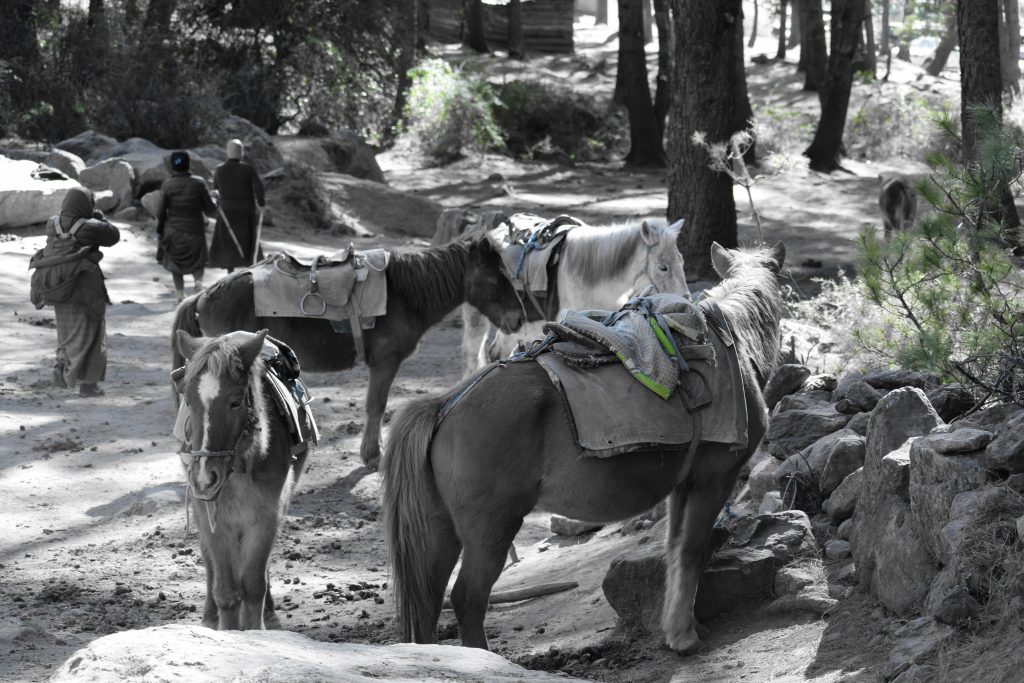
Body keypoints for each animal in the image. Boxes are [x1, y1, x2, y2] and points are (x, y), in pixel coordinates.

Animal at [171, 235, 524, 471]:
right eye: (495, 278)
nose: (519, 318)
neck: (402, 295)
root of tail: (202, 295)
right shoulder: (385, 363)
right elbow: (376, 406)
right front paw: (372, 455)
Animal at [174, 327, 307, 634]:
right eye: (188, 401)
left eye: (235, 402)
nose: (204, 476)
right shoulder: (214, 517)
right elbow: (226, 589)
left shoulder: (266, 517)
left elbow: (254, 585)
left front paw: (255, 629)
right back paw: (209, 617)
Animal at [380, 242, 786, 655]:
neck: (734, 345)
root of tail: (445, 404)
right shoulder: (714, 480)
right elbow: (693, 551)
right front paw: (684, 637)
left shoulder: (683, 487)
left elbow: (674, 550)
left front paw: (687, 625)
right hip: (491, 530)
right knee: (467, 599)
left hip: (441, 532)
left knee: (430, 602)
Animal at [462, 220, 688, 374]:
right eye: (663, 267)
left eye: (682, 260)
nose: (686, 300)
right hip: (478, 321)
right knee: (475, 358)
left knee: (497, 353)